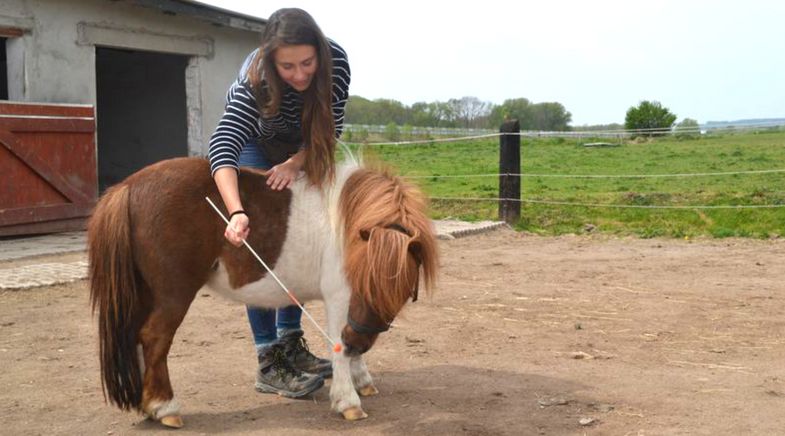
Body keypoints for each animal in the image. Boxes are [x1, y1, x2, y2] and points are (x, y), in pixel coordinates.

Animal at [89, 157, 438, 426]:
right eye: (366, 281)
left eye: (399, 290)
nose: (358, 343)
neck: (343, 223)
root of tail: (127, 187)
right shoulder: (341, 296)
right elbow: (337, 344)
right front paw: (348, 400)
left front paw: (361, 379)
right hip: (173, 294)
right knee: (154, 339)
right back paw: (164, 407)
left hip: (144, 293)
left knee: (138, 339)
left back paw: (147, 403)